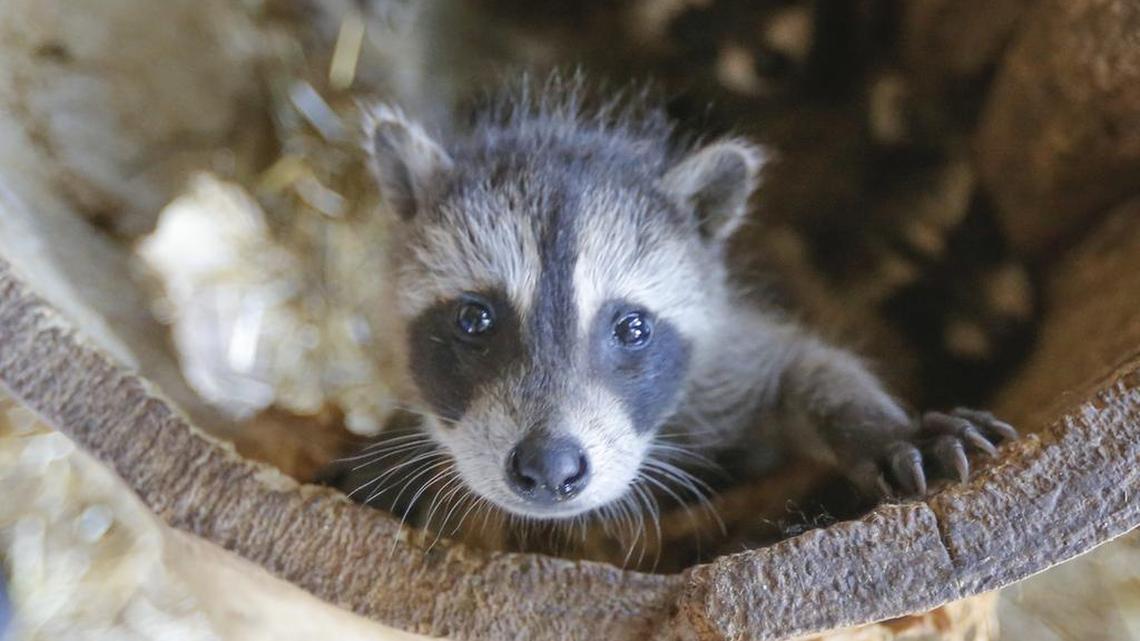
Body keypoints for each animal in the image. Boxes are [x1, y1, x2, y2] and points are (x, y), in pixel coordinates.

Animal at [340, 81, 1015, 526]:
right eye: (475, 318)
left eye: (632, 327)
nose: (550, 468)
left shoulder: (722, 358)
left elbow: (807, 367)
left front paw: (882, 427)